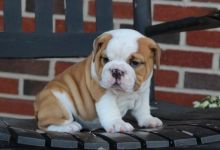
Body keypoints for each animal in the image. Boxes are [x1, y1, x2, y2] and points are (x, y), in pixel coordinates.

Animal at [34, 28, 162, 133]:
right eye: (106, 59)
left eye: (135, 63)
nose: (116, 70)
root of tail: (37, 104)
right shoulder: (103, 93)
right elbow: (111, 109)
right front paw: (117, 124)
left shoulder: (143, 92)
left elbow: (142, 109)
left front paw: (148, 119)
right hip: (56, 103)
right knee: (45, 124)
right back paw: (69, 126)